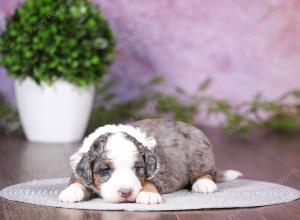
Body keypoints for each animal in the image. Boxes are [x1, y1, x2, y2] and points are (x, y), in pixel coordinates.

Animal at [58, 119, 241, 204]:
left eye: (138, 167)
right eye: (105, 170)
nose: (126, 192)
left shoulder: (160, 171)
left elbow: (150, 181)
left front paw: (147, 194)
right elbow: (77, 180)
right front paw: (71, 192)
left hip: (201, 156)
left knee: (208, 173)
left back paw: (204, 184)